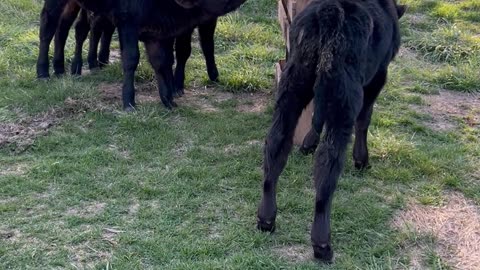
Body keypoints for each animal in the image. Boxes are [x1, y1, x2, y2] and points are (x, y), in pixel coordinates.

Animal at [255, 0, 404, 262]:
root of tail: (330, 13)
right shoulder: (378, 76)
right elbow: (364, 119)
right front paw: (362, 160)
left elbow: (316, 116)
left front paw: (307, 143)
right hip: (345, 95)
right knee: (328, 162)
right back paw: (322, 243)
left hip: (293, 82)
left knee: (275, 143)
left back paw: (266, 218)